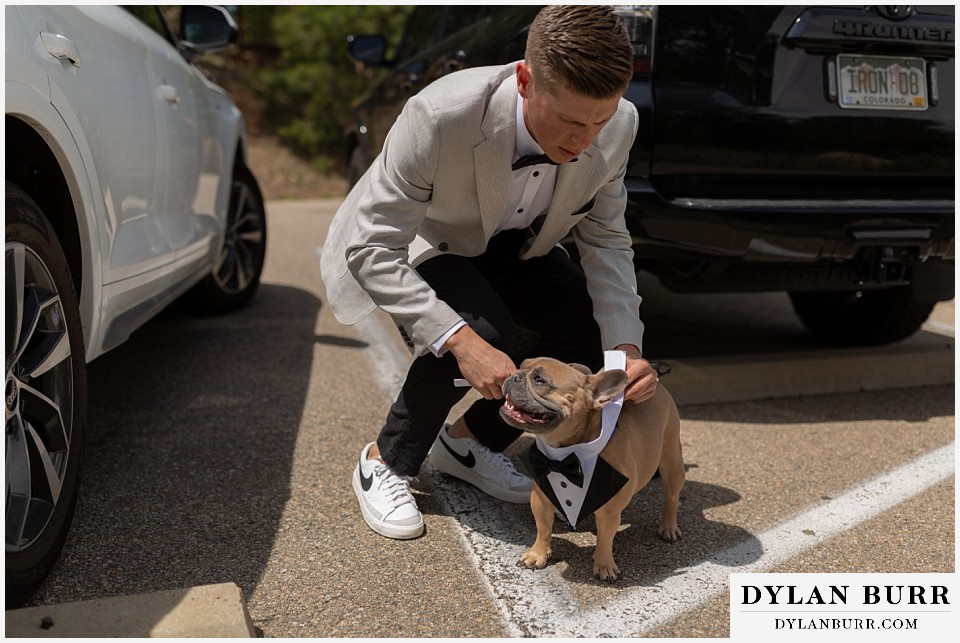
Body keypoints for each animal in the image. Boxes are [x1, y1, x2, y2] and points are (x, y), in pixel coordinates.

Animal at [498, 358, 688, 584]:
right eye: (521, 365)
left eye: (539, 380)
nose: (514, 375)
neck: (566, 455)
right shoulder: (541, 499)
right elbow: (543, 528)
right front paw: (537, 554)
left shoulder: (609, 512)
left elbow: (605, 538)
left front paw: (604, 565)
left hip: (671, 461)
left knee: (672, 496)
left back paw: (668, 527)